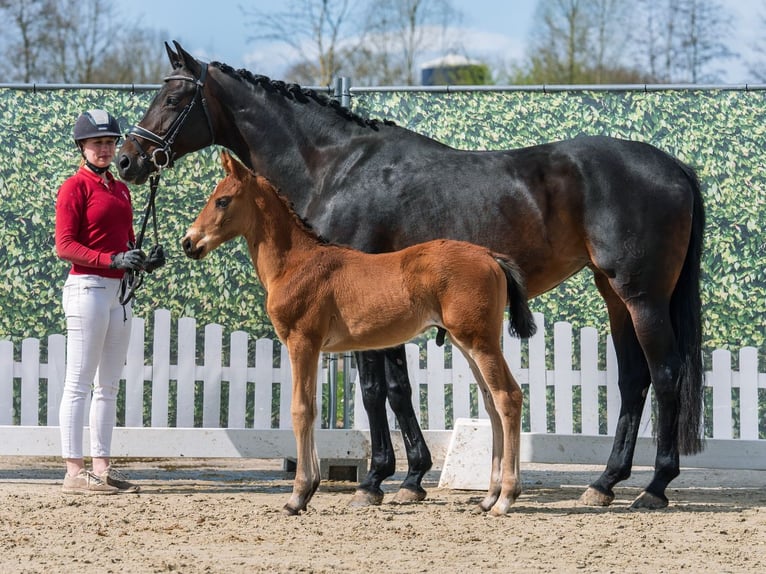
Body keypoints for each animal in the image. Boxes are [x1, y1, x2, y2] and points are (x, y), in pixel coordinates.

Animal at [182, 150, 536, 515]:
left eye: (223, 200)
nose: (189, 242)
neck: (296, 263)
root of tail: (490, 256)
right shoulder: (314, 349)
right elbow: (312, 409)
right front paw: (310, 488)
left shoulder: (302, 342)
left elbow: (300, 410)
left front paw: (297, 496)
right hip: (467, 343)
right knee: (492, 404)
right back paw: (489, 496)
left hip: (479, 341)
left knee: (508, 397)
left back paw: (506, 497)